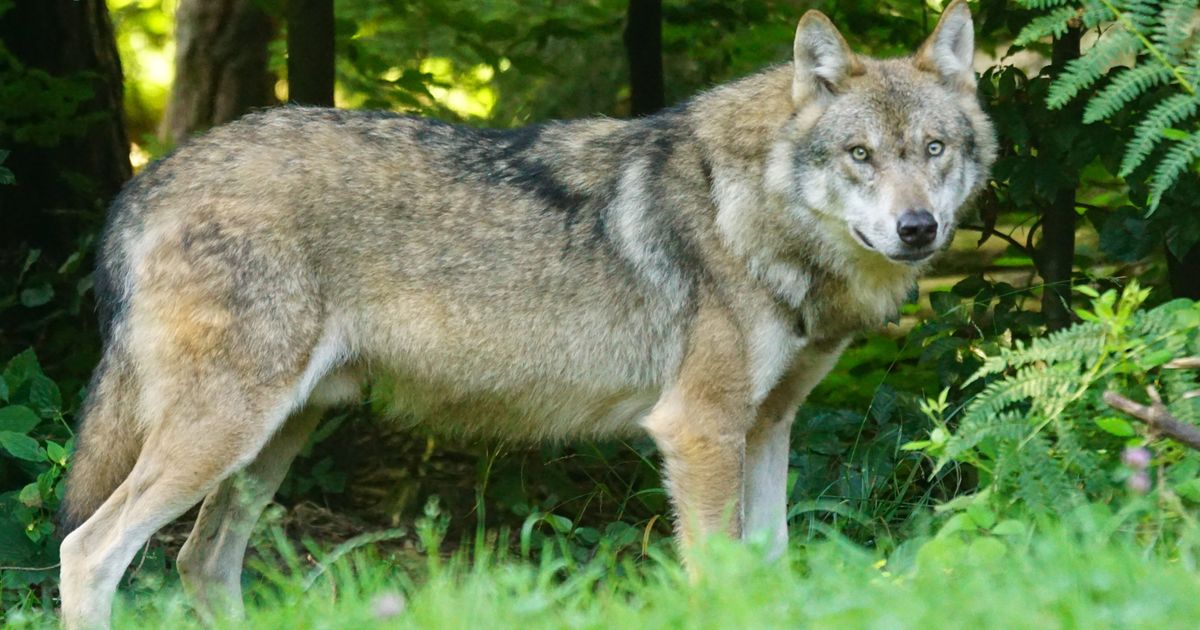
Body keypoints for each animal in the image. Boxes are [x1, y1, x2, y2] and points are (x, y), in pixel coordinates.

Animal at [58, 2, 994, 626]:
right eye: (860, 155)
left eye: (934, 150)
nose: (918, 228)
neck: (750, 209)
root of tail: (145, 181)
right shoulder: (698, 431)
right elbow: (717, 579)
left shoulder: (766, 429)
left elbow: (770, 571)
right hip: (224, 436)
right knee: (89, 551)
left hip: (270, 443)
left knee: (202, 564)